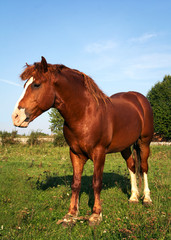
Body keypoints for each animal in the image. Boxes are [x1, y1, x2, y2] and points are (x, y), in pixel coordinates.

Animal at [11, 57, 154, 226]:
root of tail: (139, 99)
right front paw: (71, 214)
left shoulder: (99, 153)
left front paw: (96, 215)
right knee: (132, 166)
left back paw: (146, 199)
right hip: (125, 146)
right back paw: (133, 197)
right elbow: (75, 184)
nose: (16, 117)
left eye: (36, 84)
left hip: (144, 142)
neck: (84, 113)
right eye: (25, 85)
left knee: (143, 168)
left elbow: (96, 182)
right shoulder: (75, 153)